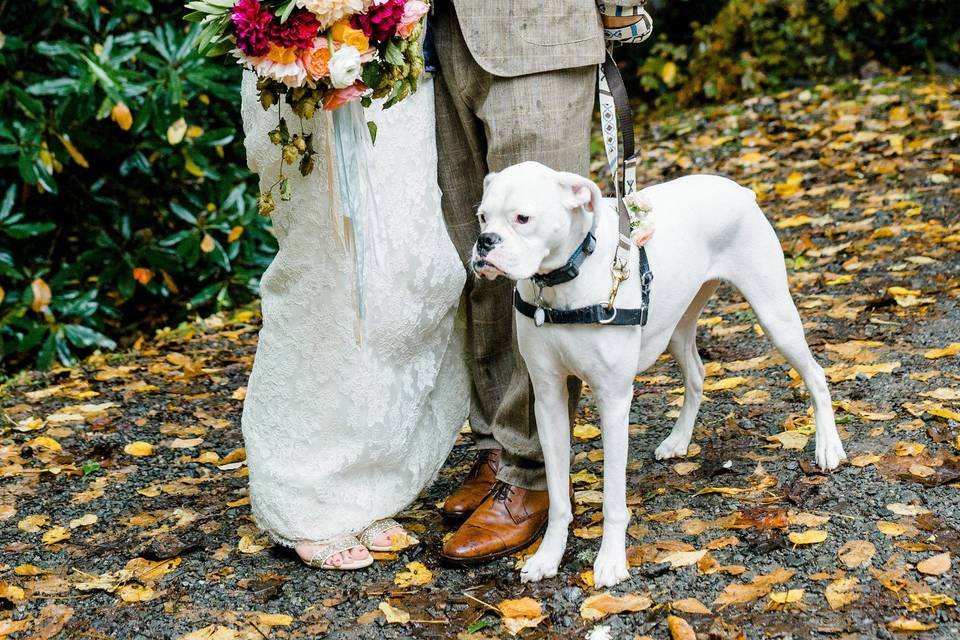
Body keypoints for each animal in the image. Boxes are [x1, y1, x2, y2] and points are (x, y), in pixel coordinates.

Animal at [472, 161, 848, 592]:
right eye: (482, 217)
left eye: (523, 218)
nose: (484, 242)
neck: (564, 281)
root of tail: (740, 190)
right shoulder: (548, 399)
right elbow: (557, 496)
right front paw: (548, 556)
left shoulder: (613, 401)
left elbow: (613, 497)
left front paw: (611, 561)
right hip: (677, 327)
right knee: (697, 374)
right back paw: (678, 440)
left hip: (775, 315)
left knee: (815, 375)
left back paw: (827, 447)